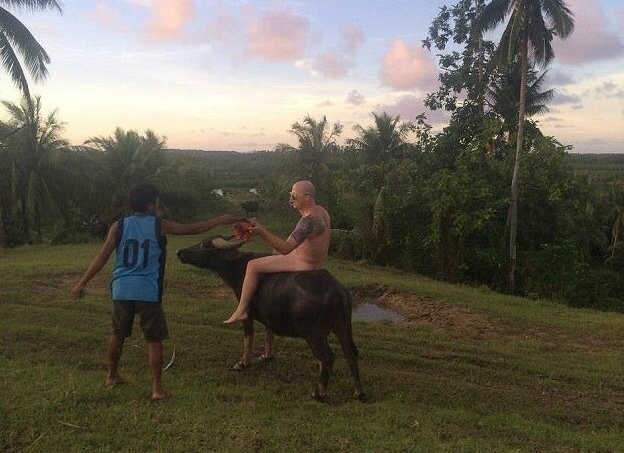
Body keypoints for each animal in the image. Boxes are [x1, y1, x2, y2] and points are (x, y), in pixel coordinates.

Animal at [176, 237, 364, 400]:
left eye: (204, 244)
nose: (179, 251)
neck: (239, 268)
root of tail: (336, 288)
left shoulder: (247, 314)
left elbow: (248, 337)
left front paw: (243, 363)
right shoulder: (270, 314)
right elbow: (269, 333)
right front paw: (267, 356)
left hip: (314, 333)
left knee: (327, 357)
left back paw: (318, 393)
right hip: (341, 327)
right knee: (350, 355)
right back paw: (358, 392)